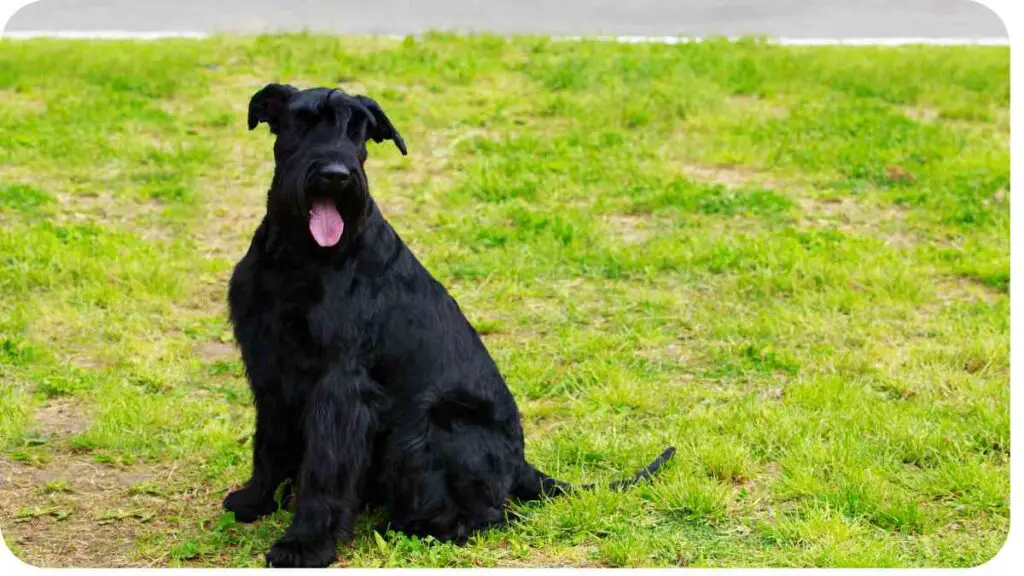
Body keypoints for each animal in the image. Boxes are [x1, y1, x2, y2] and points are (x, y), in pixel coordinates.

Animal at [222, 85, 671, 565]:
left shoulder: (339, 384)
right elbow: (268, 444)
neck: (300, 254)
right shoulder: (270, 368)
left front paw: (304, 544)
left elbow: (325, 469)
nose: (336, 176)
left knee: (489, 515)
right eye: (303, 121)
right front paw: (255, 501)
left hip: (432, 427)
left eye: (357, 129)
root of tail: (521, 465)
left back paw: (409, 527)